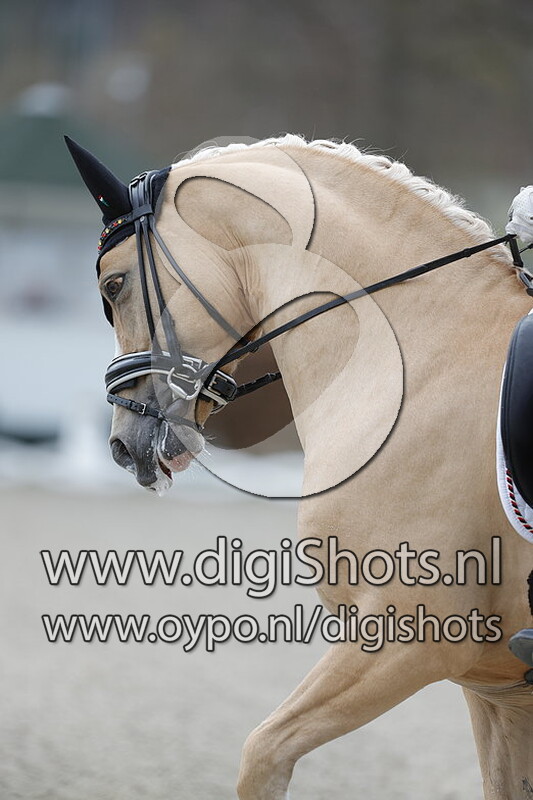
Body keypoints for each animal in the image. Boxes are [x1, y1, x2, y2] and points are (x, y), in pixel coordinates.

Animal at [67, 134, 533, 799]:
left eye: (114, 285)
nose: (124, 445)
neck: (424, 360)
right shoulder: (499, 693)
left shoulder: (408, 638)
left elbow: (263, 754)